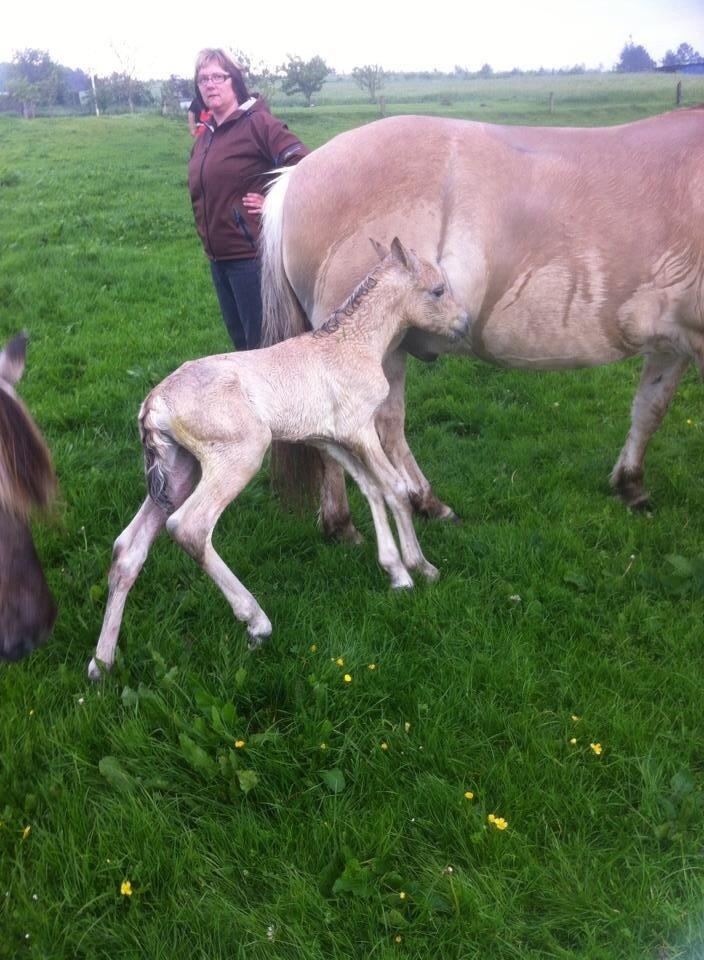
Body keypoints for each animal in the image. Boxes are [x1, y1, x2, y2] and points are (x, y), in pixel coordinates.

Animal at [260, 109, 704, 544]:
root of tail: (296, 175)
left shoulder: (670, 344)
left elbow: (649, 409)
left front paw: (630, 485)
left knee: (386, 426)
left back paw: (417, 505)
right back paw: (349, 522)